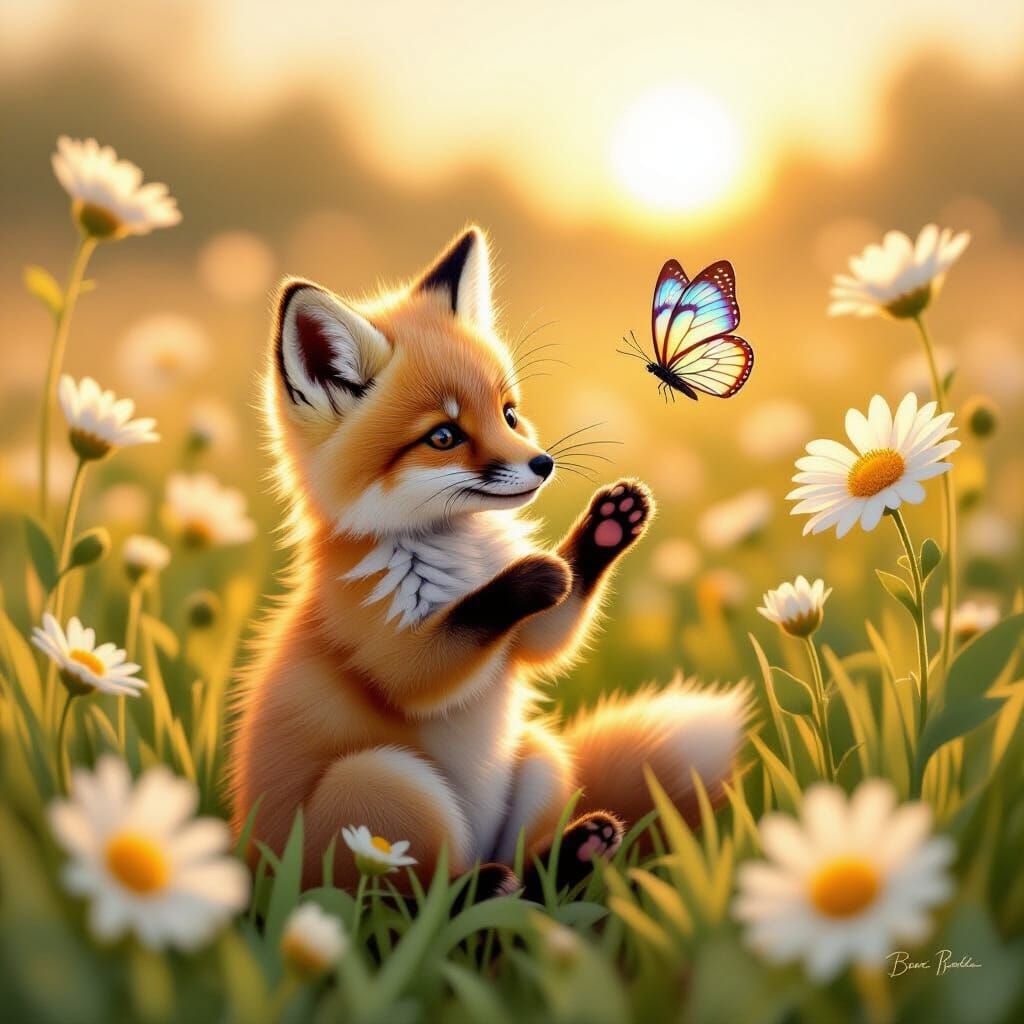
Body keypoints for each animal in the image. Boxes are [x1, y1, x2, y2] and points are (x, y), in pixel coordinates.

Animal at [230, 226, 747, 897]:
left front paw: (608, 525)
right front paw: (535, 574)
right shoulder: (374, 631)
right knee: (424, 900)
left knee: (530, 890)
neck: (463, 555)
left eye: (508, 412)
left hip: (540, 757)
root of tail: (255, 871)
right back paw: (482, 887)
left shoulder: (517, 648)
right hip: (385, 783)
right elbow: (431, 661)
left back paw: (575, 852)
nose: (543, 465)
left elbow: (548, 640)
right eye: (443, 437)